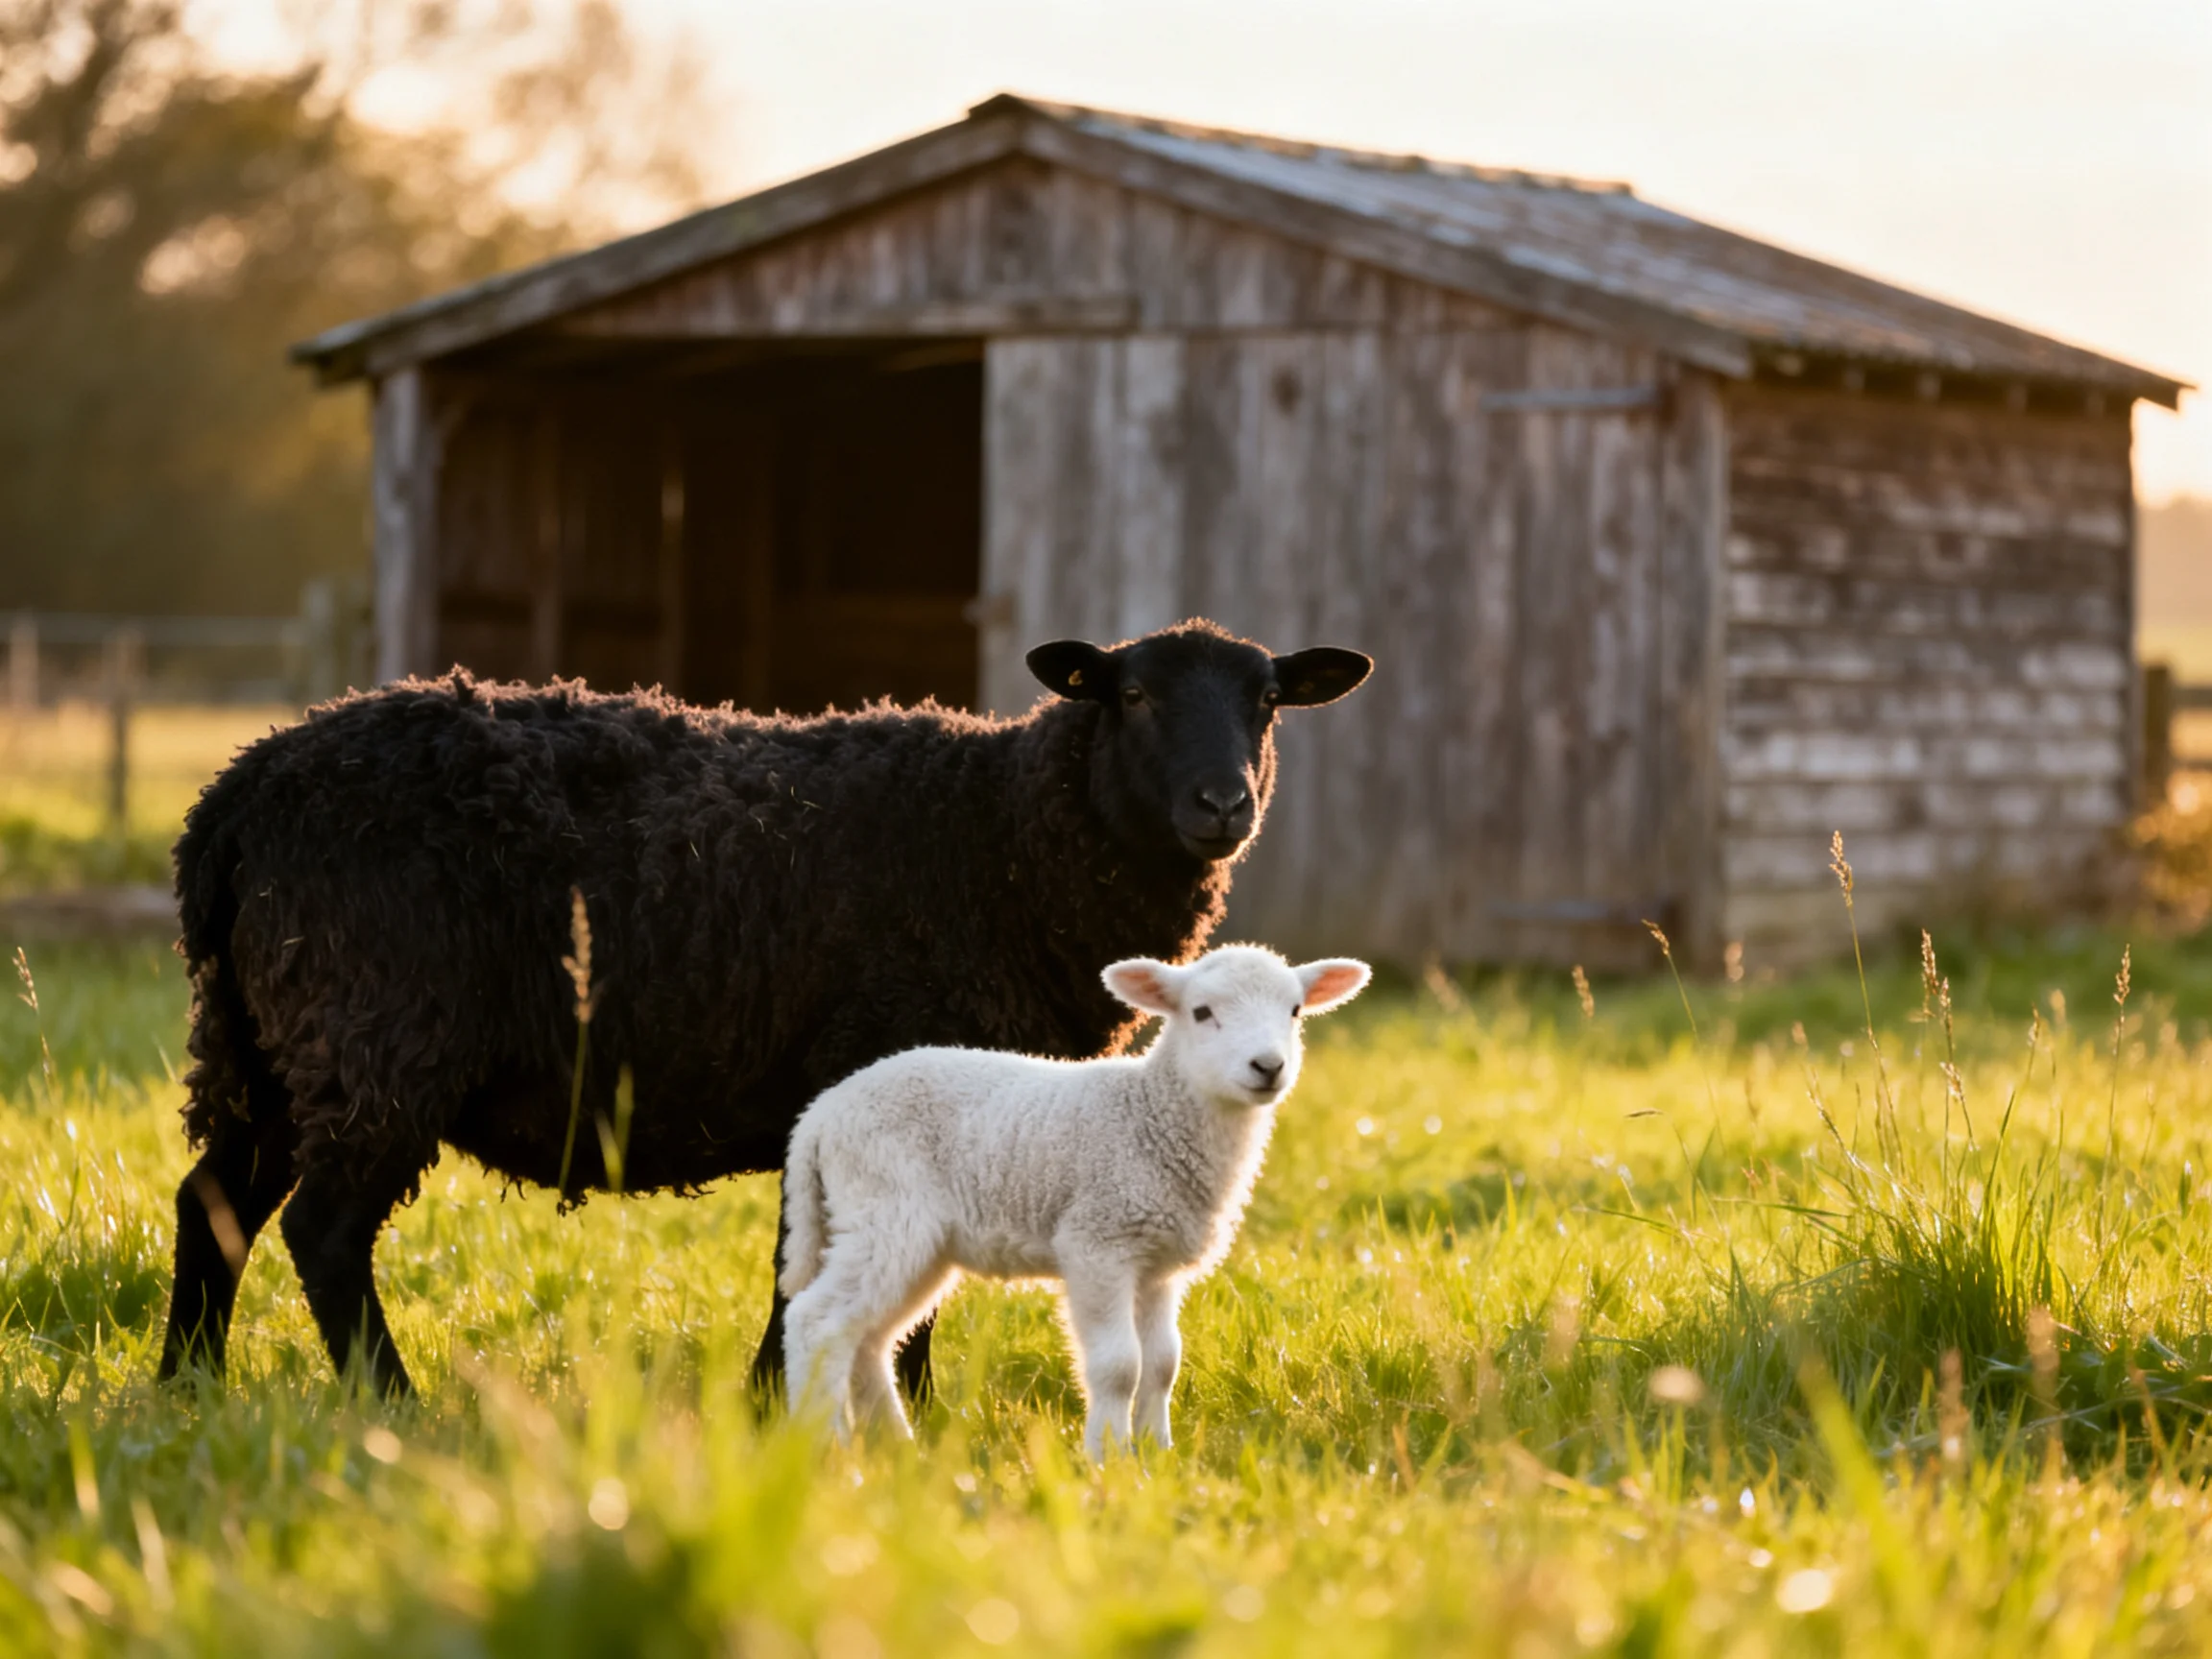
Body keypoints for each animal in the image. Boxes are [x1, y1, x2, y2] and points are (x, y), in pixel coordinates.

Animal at [155, 620, 1372, 1399]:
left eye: (1267, 702)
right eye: (1132, 695)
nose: (1224, 803)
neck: (1005, 836)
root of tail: (235, 799)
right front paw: (863, 1408)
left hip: (263, 1042)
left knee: (212, 1203)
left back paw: (185, 1389)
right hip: (375, 1032)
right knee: (321, 1228)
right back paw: (389, 1404)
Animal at [780, 943, 1371, 1460]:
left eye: (1294, 1010)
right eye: (1202, 1012)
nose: (1267, 1067)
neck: (1154, 1115)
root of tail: (819, 1115)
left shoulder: (1157, 1262)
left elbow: (1163, 1362)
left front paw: (1158, 1452)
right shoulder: (1098, 1241)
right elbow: (1119, 1365)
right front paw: (1107, 1456)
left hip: (914, 1239)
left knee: (869, 1339)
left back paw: (895, 1447)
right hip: (885, 1209)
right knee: (817, 1321)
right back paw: (823, 1447)